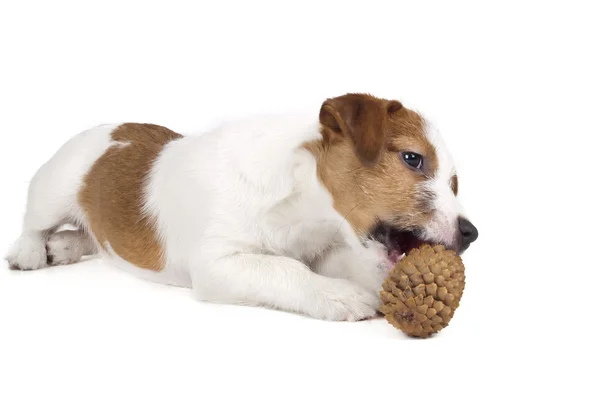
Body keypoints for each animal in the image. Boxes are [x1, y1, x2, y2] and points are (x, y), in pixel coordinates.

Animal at [4, 93, 478, 322]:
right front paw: (338, 295)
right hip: (54, 188)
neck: (301, 208)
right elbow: (284, 269)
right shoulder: (219, 263)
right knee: (33, 223)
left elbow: (339, 263)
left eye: (454, 182)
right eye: (413, 159)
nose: (472, 233)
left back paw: (63, 247)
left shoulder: (325, 248)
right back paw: (30, 252)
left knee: (93, 237)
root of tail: (106, 126)